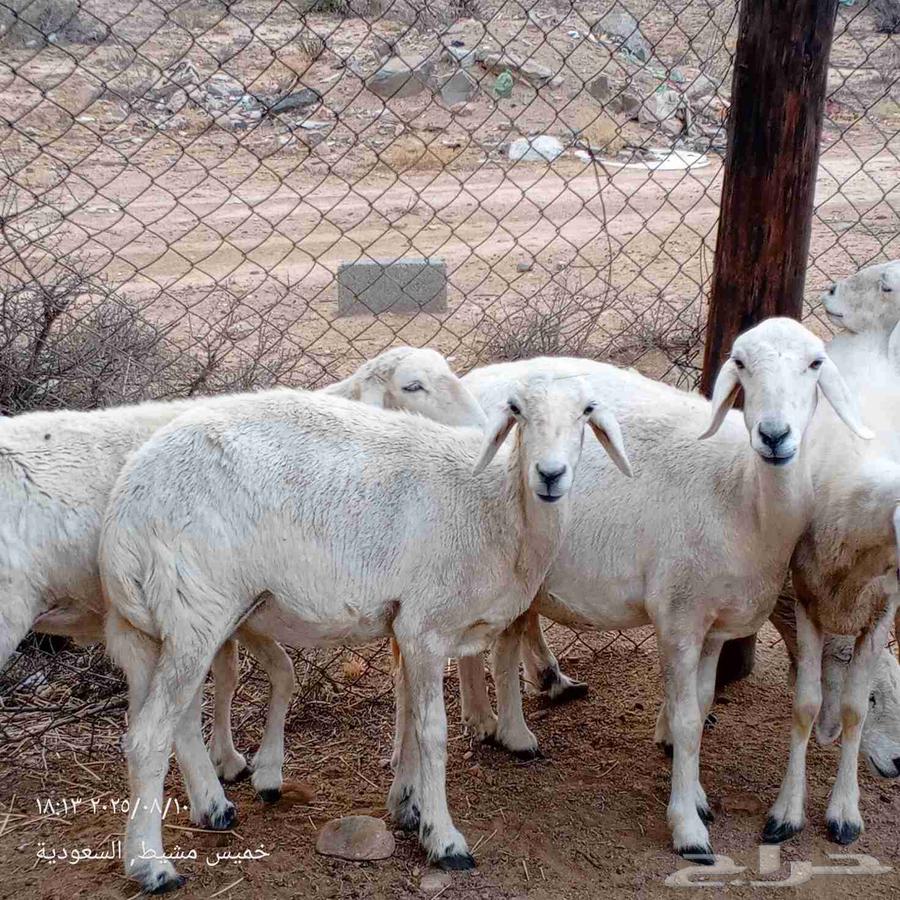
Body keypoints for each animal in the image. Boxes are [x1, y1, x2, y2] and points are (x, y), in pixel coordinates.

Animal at [0, 347, 485, 806]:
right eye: (413, 385)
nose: (482, 432)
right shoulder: (230, 605)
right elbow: (259, 675)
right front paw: (241, 768)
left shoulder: (238, 610)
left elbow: (239, 675)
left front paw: (229, 761)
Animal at [98, 371, 632, 893]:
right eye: (517, 410)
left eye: (587, 411)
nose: (550, 474)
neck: (497, 506)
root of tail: (123, 510)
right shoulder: (425, 625)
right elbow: (431, 731)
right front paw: (444, 838)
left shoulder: (406, 624)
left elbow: (409, 718)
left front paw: (408, 807)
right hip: (195, 609)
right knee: (147, 737)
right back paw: (151, 865)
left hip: (160, 627)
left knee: (177, 721)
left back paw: (211, 809)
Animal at [441, 318, 870, 863]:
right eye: (741, 363)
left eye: (815, 363)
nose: (774, 435)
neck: (743, 494)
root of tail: (473, 377)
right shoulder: (679, 617)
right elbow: (686, 721)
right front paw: (688, 827)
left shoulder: (714, 626)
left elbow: (702, 707)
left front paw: (699, 795)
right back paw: (487, 721)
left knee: (504, 642)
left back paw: (509, 728)